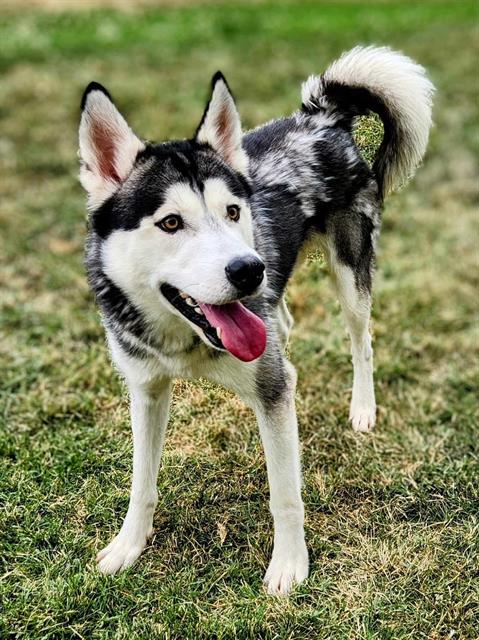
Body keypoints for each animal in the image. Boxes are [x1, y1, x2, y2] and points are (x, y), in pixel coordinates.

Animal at [79, 46, 436, 596]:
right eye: (170, 222)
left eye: (231, 211)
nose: (249, 270)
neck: (184, 339)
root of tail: (320, 116)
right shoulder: (146, 388)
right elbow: (142, 481)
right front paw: (128, 547)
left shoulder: (269, 384)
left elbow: (285, 492)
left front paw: (290, 564)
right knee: (283, 325)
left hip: (350, 274)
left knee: (362, 342)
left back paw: (362, 408)